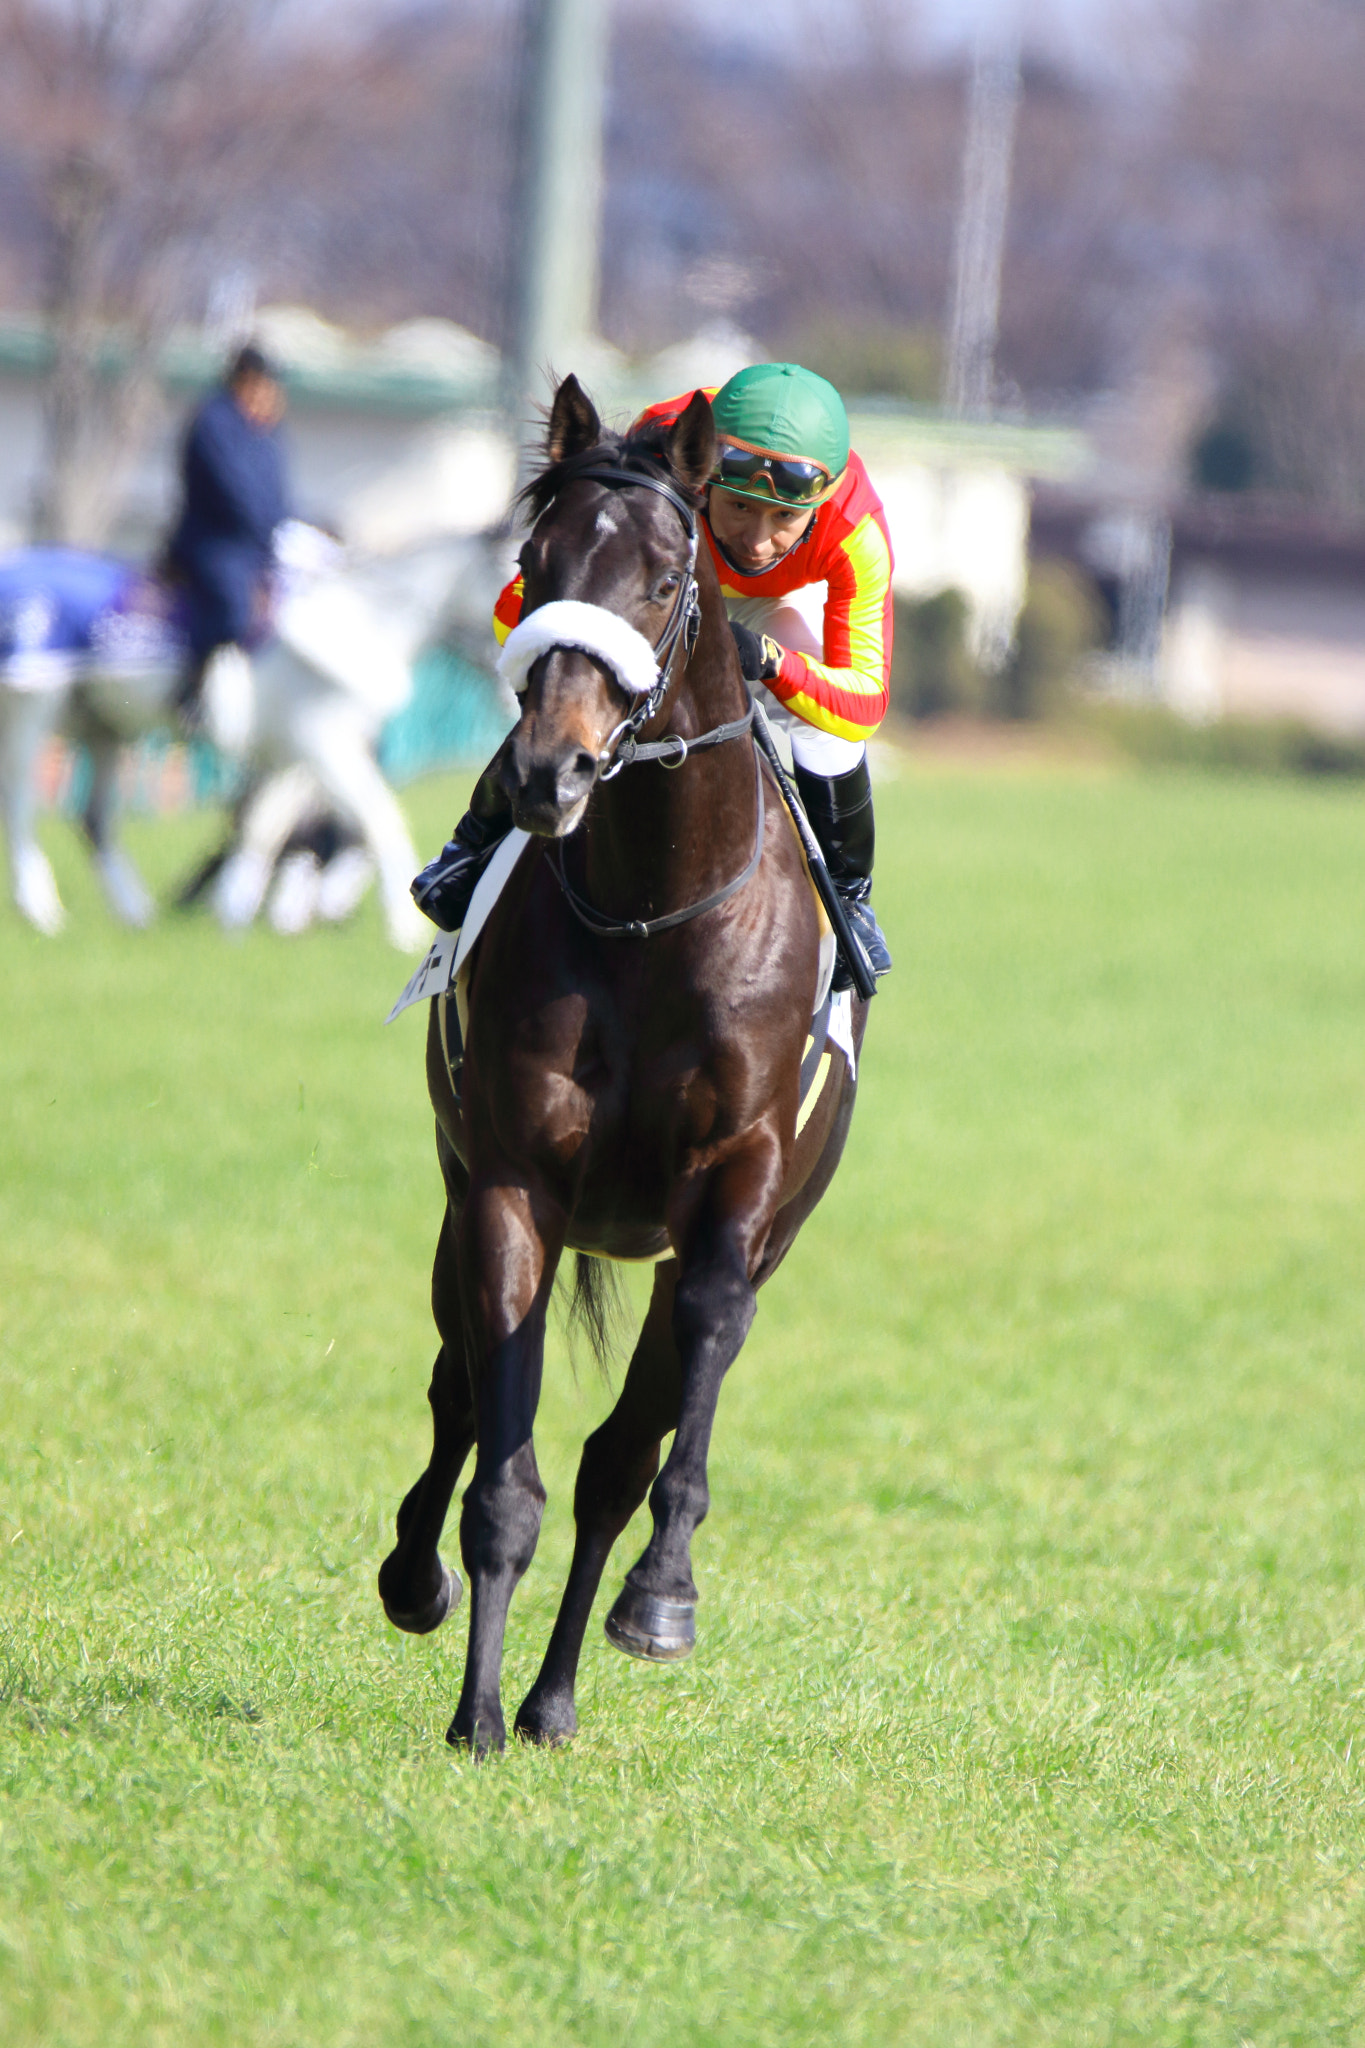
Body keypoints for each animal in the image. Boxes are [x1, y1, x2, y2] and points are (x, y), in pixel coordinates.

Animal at [0, 523, 511, 950]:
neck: (363, 620)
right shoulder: (325, 748)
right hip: (34, 709)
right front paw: (403, 927)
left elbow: (261, 830)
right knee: (22, 806)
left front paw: (234, 916)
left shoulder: (287, 757)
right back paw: (40, 908)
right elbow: (379, 818)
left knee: (93, 821)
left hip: (100, 727)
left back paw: (135, 913)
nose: (513, 698)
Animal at [377, 375, 870, 1754]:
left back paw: (559, 1692)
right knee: (456, 1384)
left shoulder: (735, 1190)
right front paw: (474, 1711)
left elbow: (658, 1410)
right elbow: (501, 1463)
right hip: (461, 1195)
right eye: (537, 565)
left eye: (660, 579)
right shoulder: (508, 1178)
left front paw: (657, 1600)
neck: (658, 910)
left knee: (620, 1448)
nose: (549, 772)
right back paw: (430, 1594)